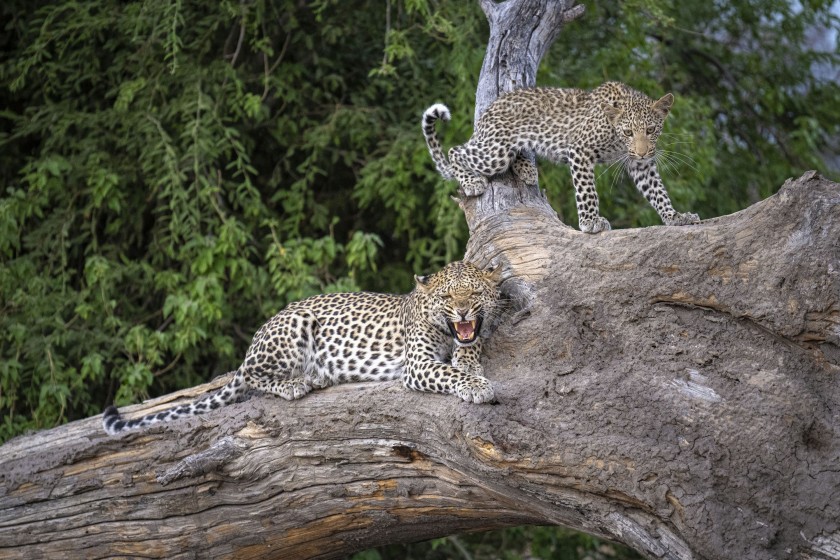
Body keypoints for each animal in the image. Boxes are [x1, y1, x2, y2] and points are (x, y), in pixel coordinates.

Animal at [103, 260, 504, 435]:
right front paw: (476, 386)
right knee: (252, 376)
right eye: (447, 297)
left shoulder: (469, 335)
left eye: (474, 293)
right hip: (295, 325)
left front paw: (471, 366)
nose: (462, 310)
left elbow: (468, 350)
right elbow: (446, 371)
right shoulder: (417, 364)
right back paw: (297, 382)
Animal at [422, 81, 700, 233]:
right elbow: (587, 191)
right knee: (456, 151)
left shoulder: (641, 164)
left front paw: (675, 217)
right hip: (494, 151)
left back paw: (527, 169)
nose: (642, 150)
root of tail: (488, 111)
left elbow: (657, 191)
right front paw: (590, 222)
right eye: (628, 132)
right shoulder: (580, 150)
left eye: (651, 130)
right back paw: (471, 182)